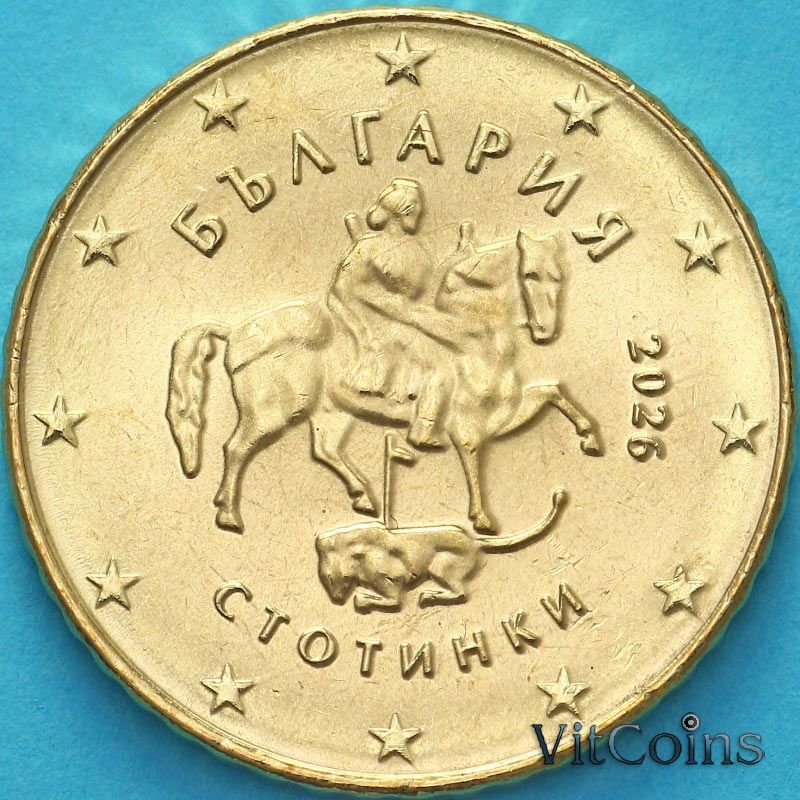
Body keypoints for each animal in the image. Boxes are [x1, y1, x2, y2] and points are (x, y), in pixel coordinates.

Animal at [166, 224, 602, 534]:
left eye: (558, 277)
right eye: (530, 274)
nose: (545, 330)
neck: (473, 330)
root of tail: (237, 330)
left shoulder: (504, 411)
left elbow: (552, 391)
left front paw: (590, 437)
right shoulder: (467, 423)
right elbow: (473, 460)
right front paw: (481, 519)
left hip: (332, 412)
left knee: (324, 450)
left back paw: (364, 497)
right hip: (273, 412)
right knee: (236, 448)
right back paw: (228, 514)